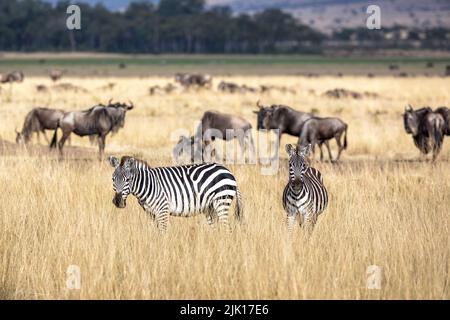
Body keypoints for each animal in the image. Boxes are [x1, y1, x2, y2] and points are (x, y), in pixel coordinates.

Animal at [108, 155, 243, 230]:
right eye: (113, 179)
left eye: (128, 180)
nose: (118, 202)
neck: (148, 184)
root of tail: (228, 171)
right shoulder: (151, 213)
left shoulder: (162, 209)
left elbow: (163, 232)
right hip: (210, 208)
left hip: (222, 201)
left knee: (226, 229)